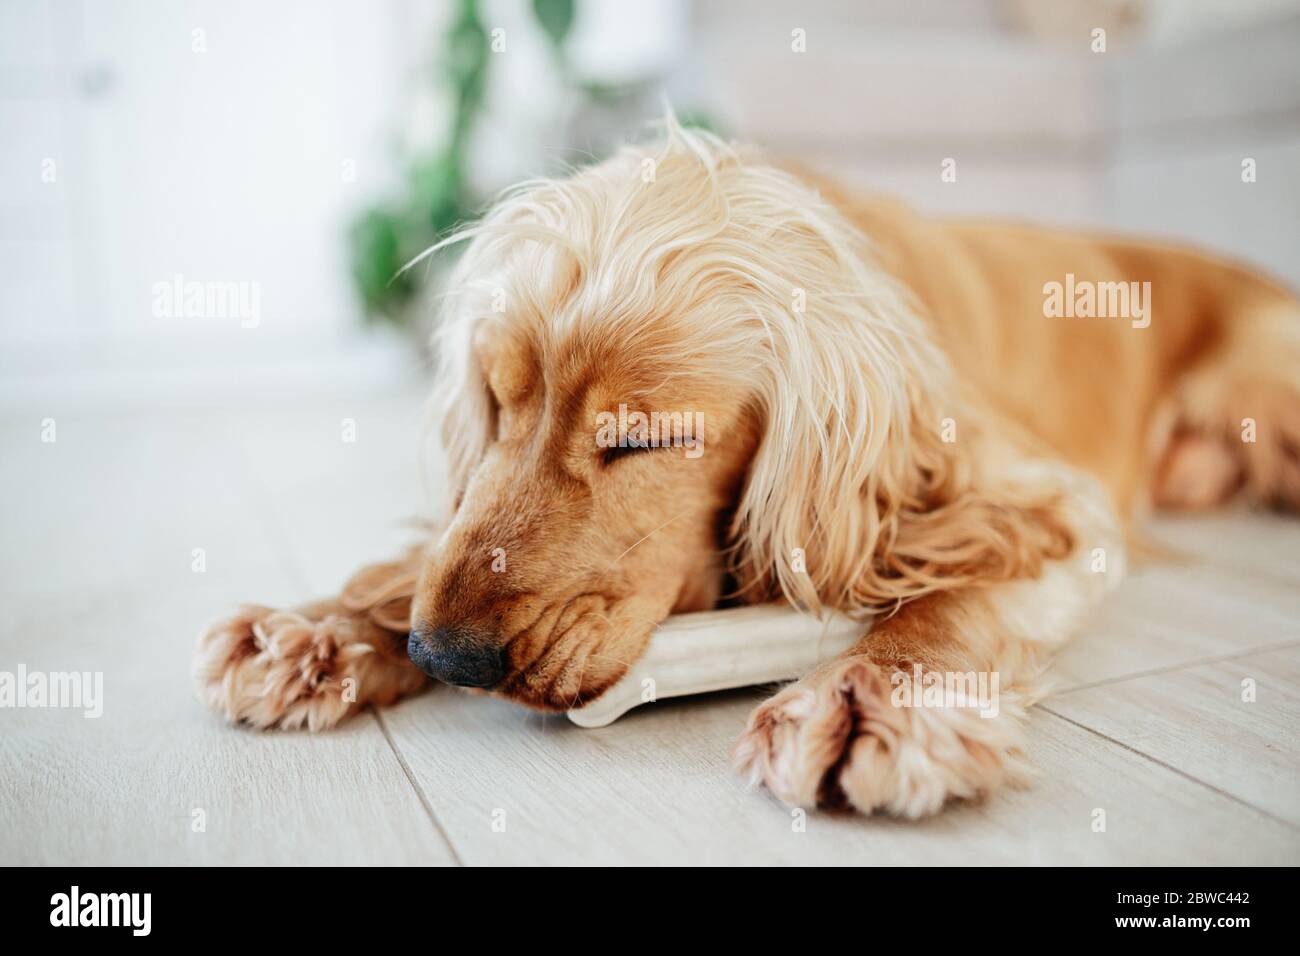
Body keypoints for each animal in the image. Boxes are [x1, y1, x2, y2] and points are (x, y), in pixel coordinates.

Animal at [195, 121, 1300, 816]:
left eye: (641, 439)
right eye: (498, 404)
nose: (444, 655)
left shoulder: (1032, 496)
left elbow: (946, 596)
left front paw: (867, 699)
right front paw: (324, 626)